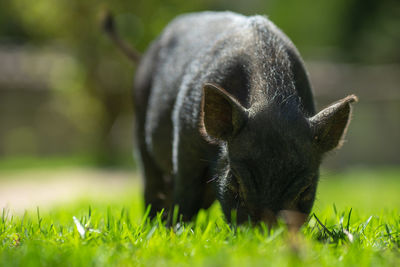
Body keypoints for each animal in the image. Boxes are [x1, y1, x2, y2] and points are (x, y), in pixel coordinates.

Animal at [108, 11, 356, 227]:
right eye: (235, 181)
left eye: (306, 190)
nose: (262, 235)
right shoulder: (185, 139)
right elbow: (186, 194)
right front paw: (176, 229)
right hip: (140, 123)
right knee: (152, 184)